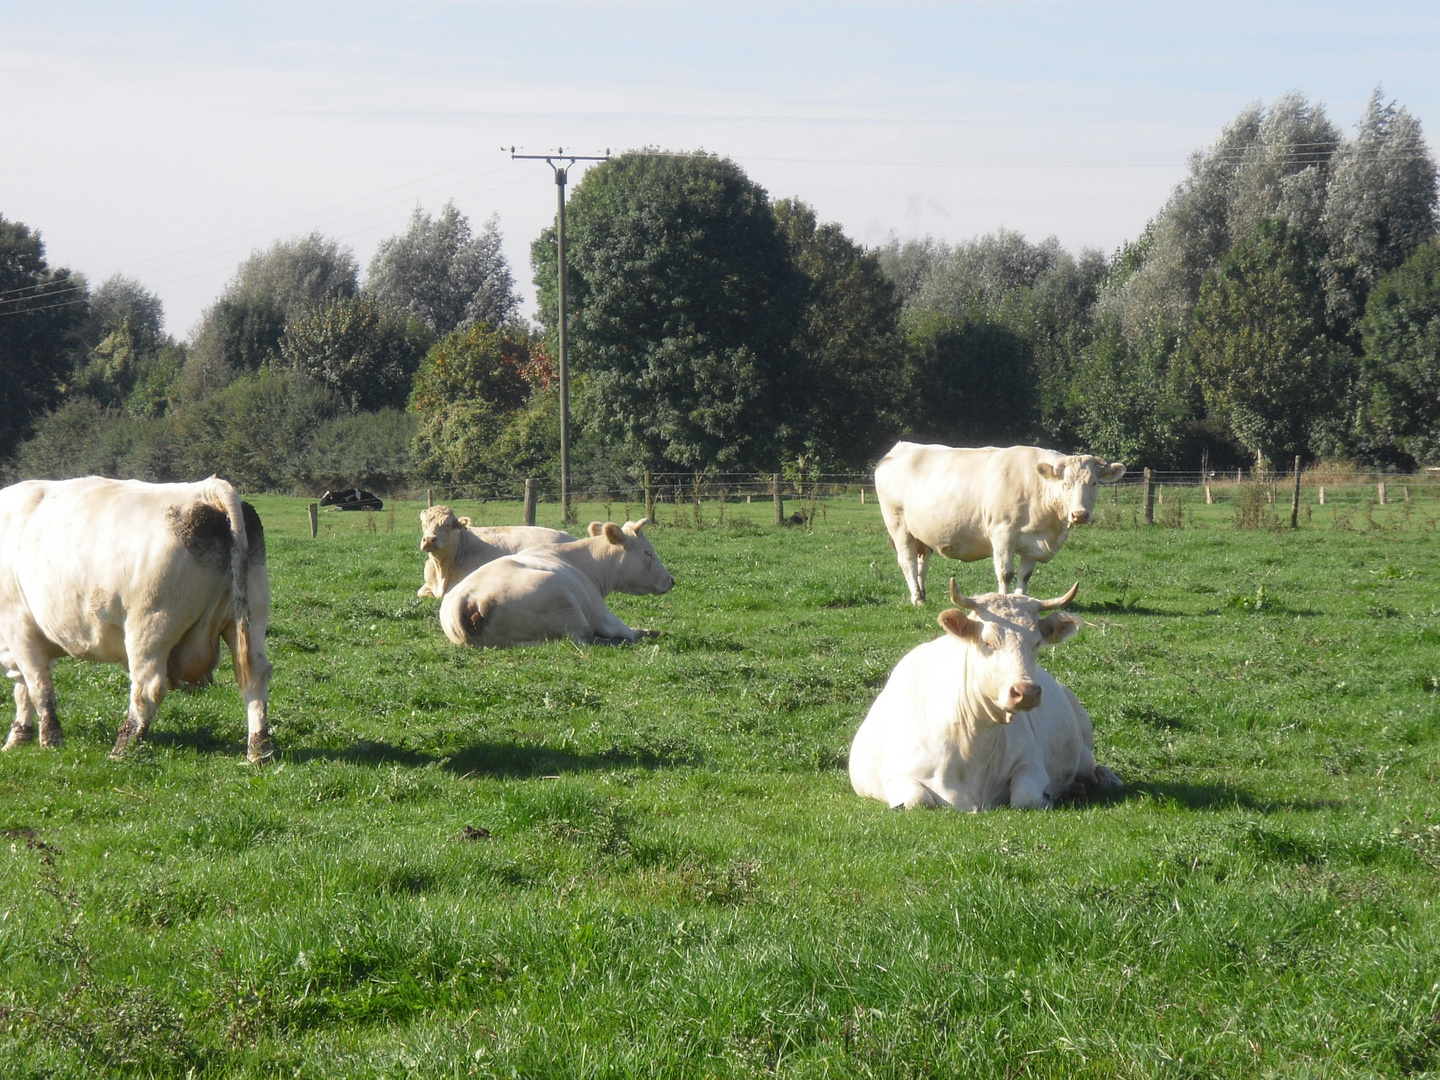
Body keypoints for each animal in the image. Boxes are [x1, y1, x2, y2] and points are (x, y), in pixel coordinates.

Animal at [0, 478, 273, 766]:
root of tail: (206, 490)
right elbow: (23, 691)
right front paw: (18, 737)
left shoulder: (19, 630)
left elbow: (38, 688)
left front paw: (50, 741)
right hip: (250, 619)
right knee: (254, 678)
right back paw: (259, 750)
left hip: (150, 627)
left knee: (147, 689)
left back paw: (122, 748)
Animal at [437, 518, 673, 648]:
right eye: (648, 552)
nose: (671, 580)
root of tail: (467, 598)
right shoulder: (602, 615)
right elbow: (628, 631)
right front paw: (649, 632)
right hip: (568, 609)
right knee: (587, 638)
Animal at [846, 584, 1117, 812]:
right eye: (988, 642)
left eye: (1037, 643)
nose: (1026, 691)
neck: (972, 741)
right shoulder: (897, 775)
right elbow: (916, 799)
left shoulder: (1031, 761)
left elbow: (1026, 796)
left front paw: (1049, 796)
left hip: (1083, 746)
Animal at [875, 443, 1123, 604]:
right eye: (1066, 483)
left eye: (1094, 482)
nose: (1080, 514)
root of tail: (899, 448)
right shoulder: (1002, 533)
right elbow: (1005, 573)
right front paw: (1004, 600)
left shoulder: (1034, 541)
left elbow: (1025, 575)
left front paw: (1022, 599)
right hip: (897, 524)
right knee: (907, 561)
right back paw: (917, 598)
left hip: (922, 532)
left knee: (922, 561)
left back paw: (923, 593)